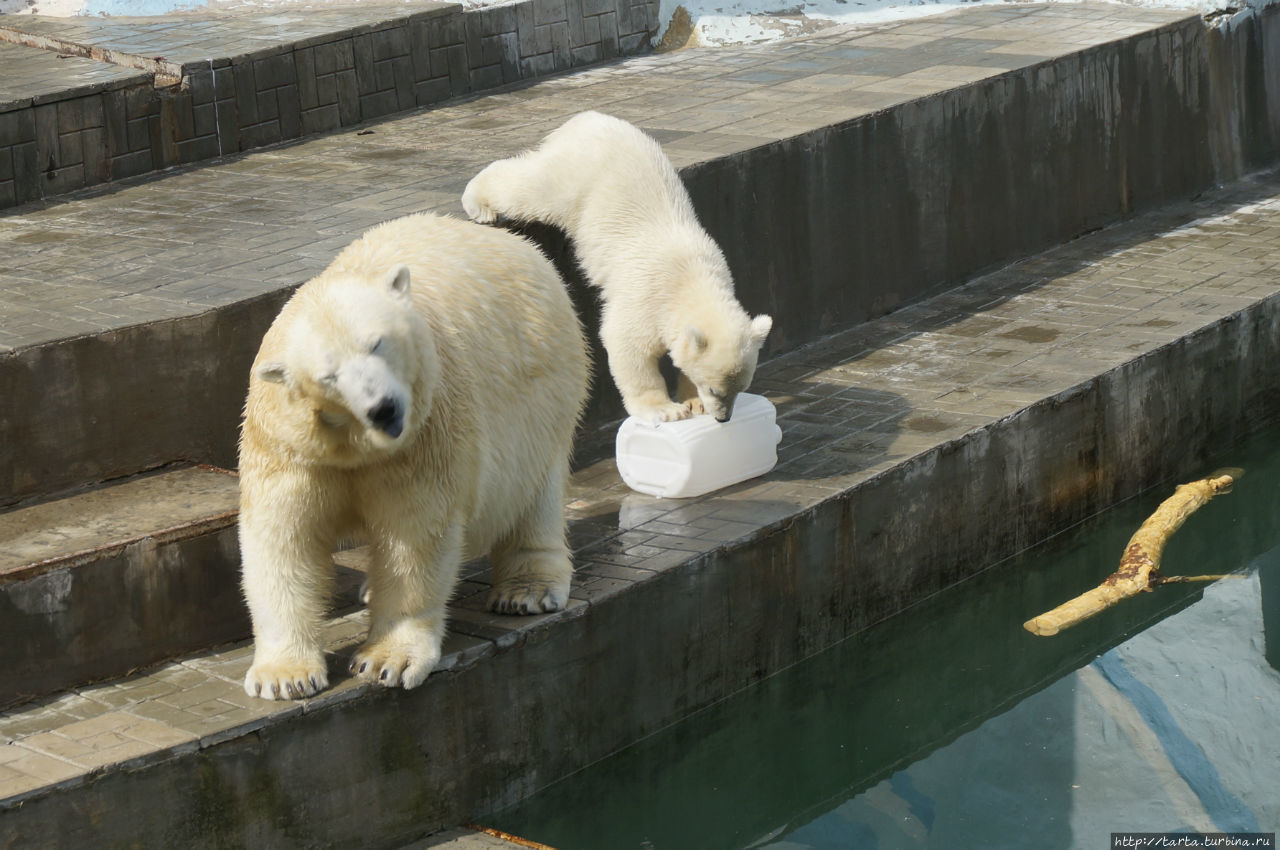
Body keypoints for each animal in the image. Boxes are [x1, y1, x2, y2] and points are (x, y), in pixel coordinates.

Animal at [238, 212, 586, 696]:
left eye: (377, 342)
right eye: (328, 376)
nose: (383, 408)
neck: (355, 447)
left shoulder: (424, 438)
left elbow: (413, 538)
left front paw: (386, 661)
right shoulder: (291, 448)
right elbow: (283, 537)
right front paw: (284, 677)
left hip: (542, 390)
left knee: (535, 490)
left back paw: (526, 590)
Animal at [468, 111, 773, 425]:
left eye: (740, 388)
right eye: (714, 389)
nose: (723, 418)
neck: (693, 278)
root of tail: (586, 119)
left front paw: (693, 402)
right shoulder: (647, 296)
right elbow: (626, 343)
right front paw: (665, 409)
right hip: (576, 178)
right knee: (530, 188)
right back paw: (479, 205)